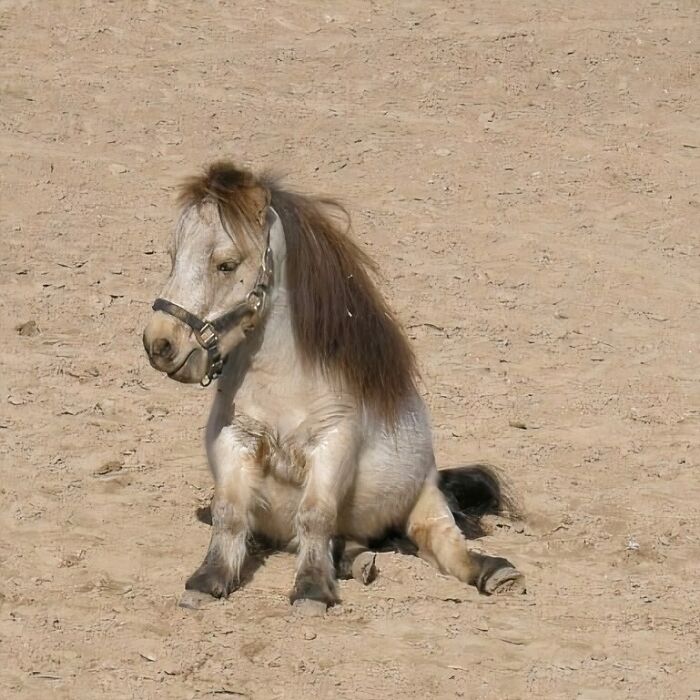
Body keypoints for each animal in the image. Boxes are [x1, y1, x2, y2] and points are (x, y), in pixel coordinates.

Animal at [142, 161, 525, 606]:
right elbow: (229, 513)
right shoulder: (234, 439)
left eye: (227, 264)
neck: (284, 383)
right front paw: (208, 580)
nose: (159, 343)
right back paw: (358, 563)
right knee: (348, 543)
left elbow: (315, 514)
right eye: (174, 257)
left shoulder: (333, 441)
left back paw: (493, 571)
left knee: (440, 539)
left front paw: (311, 589)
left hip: (424, 498)